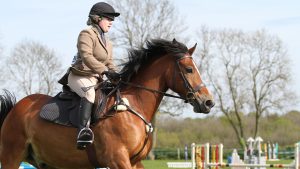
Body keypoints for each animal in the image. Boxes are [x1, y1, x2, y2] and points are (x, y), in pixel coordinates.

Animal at [1, 39, 214, 168]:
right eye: (188, 69)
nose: (208, 102)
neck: (132, 104)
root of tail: (15, 108)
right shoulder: (118, 160)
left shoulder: (135, 162)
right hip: (12, 156)